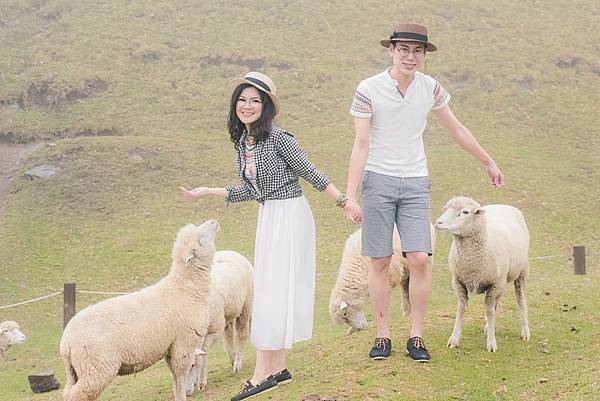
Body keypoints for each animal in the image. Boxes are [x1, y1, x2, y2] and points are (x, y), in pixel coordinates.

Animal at [59, 219, 220, 400]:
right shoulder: (183, 343)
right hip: (95, 367)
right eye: (200, 239)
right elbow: (179, 377)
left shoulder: (170, 347)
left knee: (68, 392)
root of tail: (66, 343)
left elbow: (174, 376)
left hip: (76, 370)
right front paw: (181, 395)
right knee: (78, 394)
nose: (213, 221)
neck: (185, 288)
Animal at [186, 250, 254, 394]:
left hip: (245, 306)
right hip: (228, 314)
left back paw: (237, 364)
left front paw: (201, 382)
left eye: (193, 365)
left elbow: (204, 353)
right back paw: (232, 359)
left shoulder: (215, 330)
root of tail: (231, 252)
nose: (187, 393)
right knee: (228, 337)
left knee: (241, 335)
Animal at [436, 196, 528, 350]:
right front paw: (454, 339)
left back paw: (525, 331)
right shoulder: (458, 281)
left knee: (520, 298)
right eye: (446, 209)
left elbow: (489, 312)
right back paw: (489, 327)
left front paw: (491, 344)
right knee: (496, 303)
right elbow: (461, 308)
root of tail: (502, 205)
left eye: (465, 212)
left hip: (521, 271)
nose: (438, 223)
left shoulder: (495, 283)